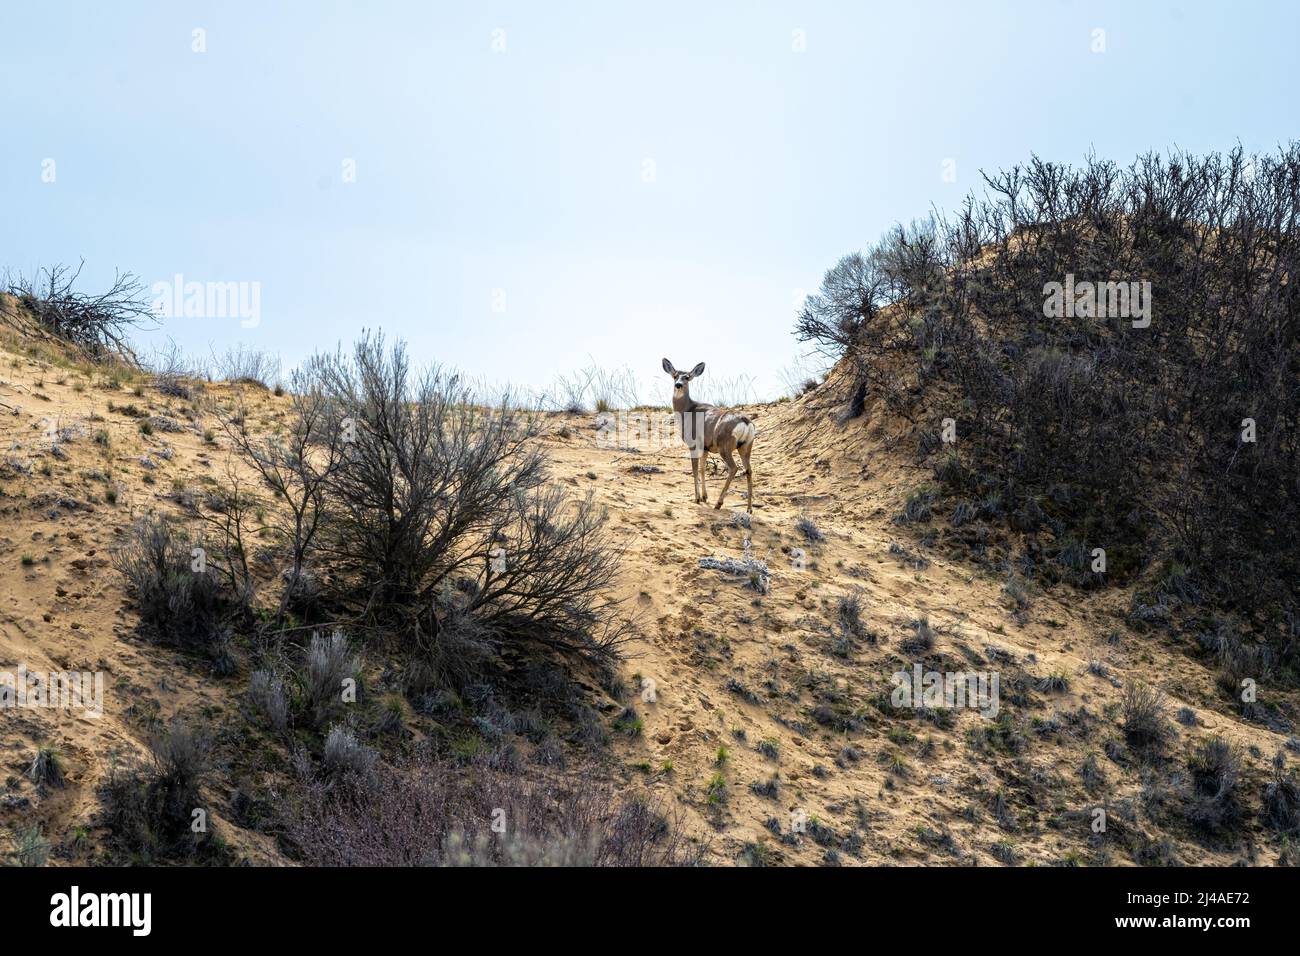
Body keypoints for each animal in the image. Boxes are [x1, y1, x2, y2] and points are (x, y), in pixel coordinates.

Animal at [665, 356, 759, 512]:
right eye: (675, 376)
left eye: (687, 377)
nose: (678, 385)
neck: (686, 411)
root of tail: (745, 422)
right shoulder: (705, 448)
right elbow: (703, 469)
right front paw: (704, 496)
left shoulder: (693, 443)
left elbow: (695, 470)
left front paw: (697, 498)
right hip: (746, 446)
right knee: (749, 470)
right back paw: (749, 508)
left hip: (725, 445)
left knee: (734, 468)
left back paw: (719, 503)